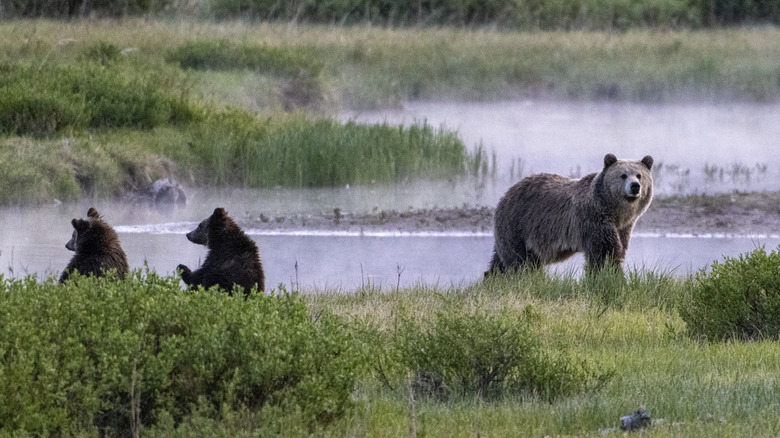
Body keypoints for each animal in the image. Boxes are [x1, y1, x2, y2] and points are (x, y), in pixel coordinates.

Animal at [486, 153, 654, 276]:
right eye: (623, 175)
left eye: (639, 175)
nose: (635, 186)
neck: (616, 212)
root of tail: (507, 193)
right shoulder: (593, 218)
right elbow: (604, 253)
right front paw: (612, 277)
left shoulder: (623, 227)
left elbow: (618, 248)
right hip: (519, 224)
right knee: (520, 260)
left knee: (500, 259)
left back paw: (492, 276)